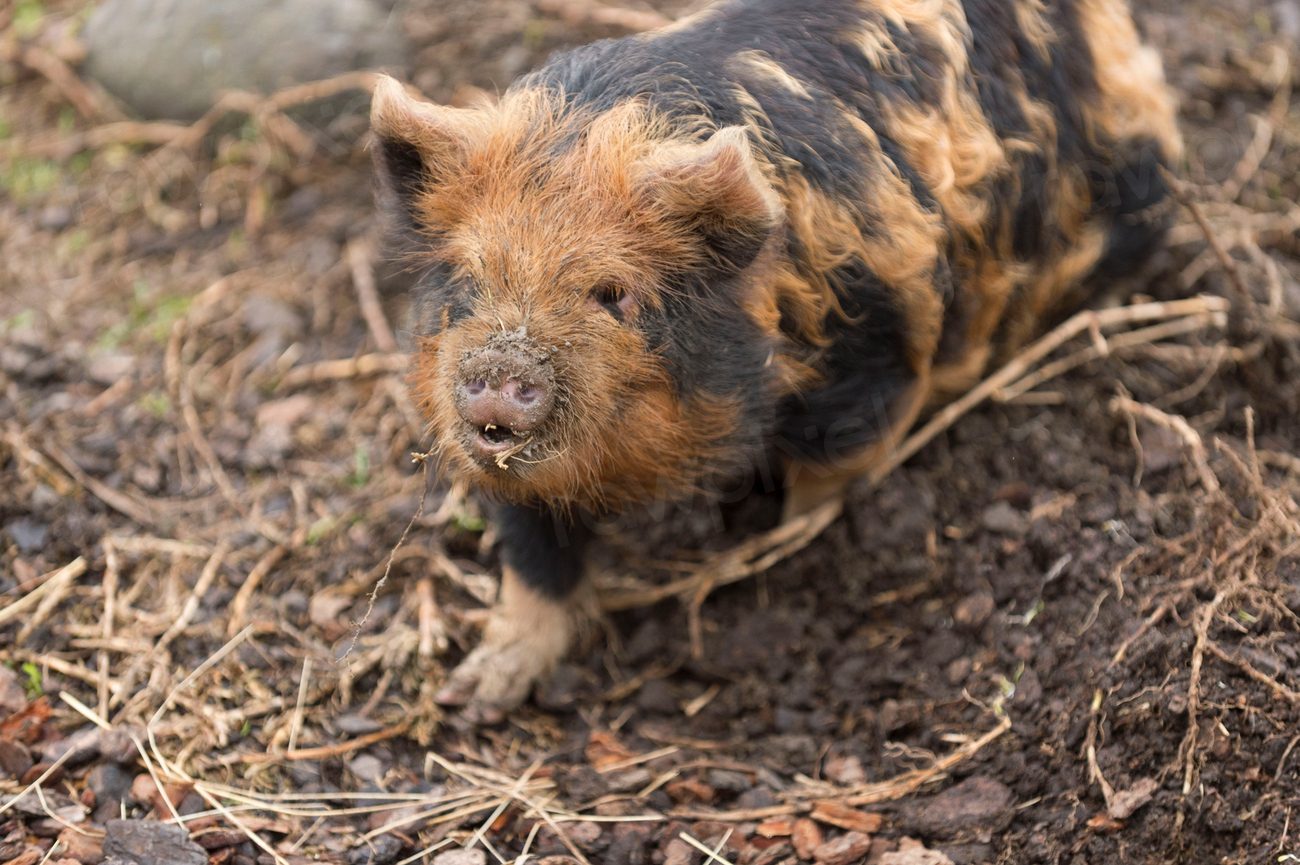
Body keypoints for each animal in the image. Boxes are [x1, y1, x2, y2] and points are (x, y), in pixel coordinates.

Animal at [366, 0, 1180, 718]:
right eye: (469, 277)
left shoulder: (869, 363)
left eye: (612, 292)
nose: (502, 368)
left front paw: (777, 553)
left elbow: (827, 480)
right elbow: (533, 561)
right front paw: (473, 698)